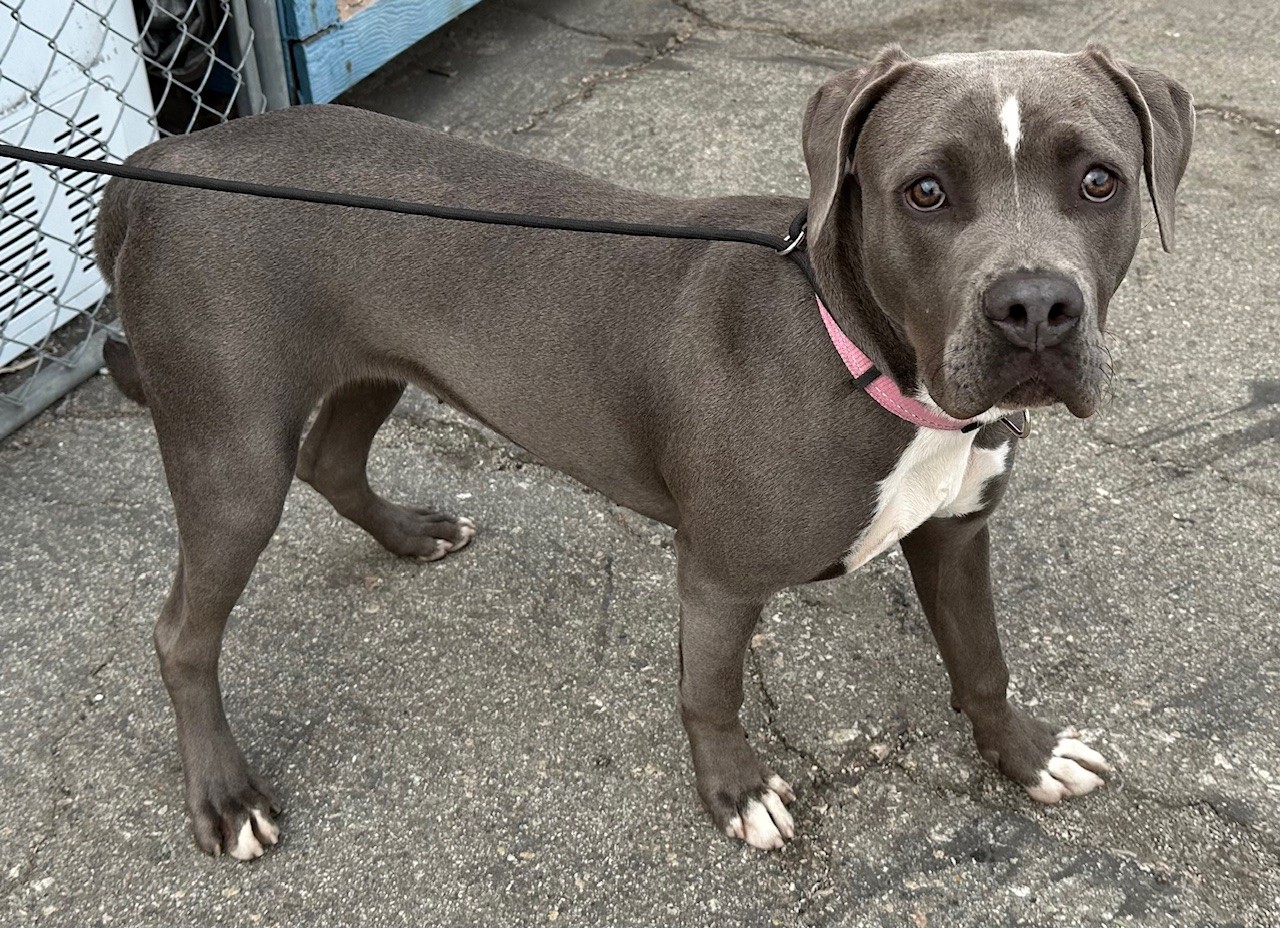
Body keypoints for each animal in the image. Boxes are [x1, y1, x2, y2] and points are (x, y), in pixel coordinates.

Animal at [97, 43, 1187, 855]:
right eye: (923, 191)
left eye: (1098, 181)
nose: (1034, 308)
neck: (864, 356)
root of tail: (166, 168)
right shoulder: (719, 574)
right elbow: (710, 691)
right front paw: (735, 791)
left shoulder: (956, 535)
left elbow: (982, 659)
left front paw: (1025, 752)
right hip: (232, 454)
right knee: (183, 631)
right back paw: (226, 798)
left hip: (374, 362)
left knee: (331, 456)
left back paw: (411, 533)